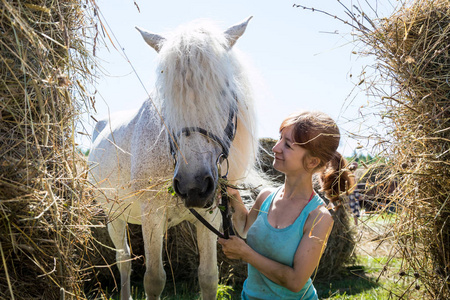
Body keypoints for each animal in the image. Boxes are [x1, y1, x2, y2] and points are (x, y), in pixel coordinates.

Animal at [88, 17, 258, 298]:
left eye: (225, 91)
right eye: (165, 98)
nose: (193, 185)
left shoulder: (210, 216)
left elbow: (208, 277)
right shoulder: (152, 213)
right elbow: (154, 279)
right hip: (114, 215)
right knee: (123, 259)